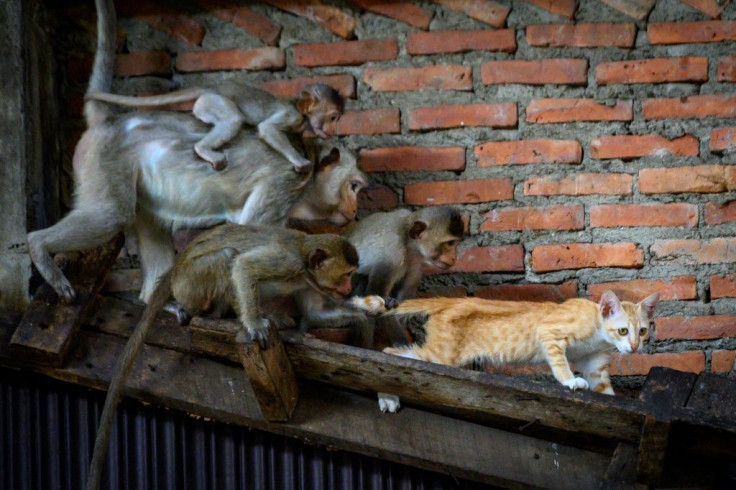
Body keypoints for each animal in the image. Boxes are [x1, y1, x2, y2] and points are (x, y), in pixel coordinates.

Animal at [85, 223, 392, 490]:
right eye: (346, 274)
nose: (348, 289)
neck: (304, 267)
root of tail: (176, 269)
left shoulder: (308, 283)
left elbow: (316, 312)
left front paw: (370, 309)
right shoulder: (286, 262)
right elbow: (244, 267)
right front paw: (254, 324)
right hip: (191, 284)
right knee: (227, 257)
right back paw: (209, 313)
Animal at [87, 81, 346, 172]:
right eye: (333, 117)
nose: (334, 130)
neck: (302, 114)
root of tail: (211, 87)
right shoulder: (291, 116)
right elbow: (267, 129)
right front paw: (298, 159)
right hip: (211, 102)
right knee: (233, 119)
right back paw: (204, 149)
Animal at [376, 290, 660, 412]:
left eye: (642, 331)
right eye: (623, 331)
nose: (634, 347)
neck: (597, 333)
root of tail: (453, 300)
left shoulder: (594, 366)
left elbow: (605, 391)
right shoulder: (548, 333)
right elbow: (560, 363)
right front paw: (570, 381)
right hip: (442, 356)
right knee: (389, 352)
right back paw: (388, 397)